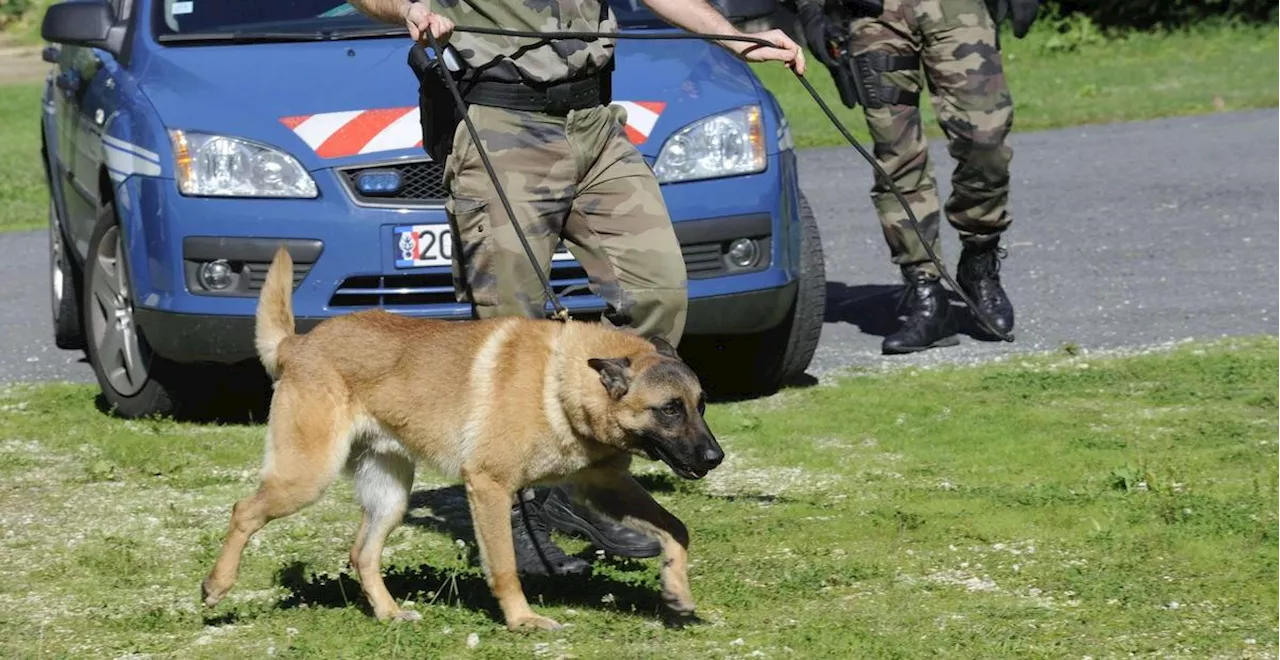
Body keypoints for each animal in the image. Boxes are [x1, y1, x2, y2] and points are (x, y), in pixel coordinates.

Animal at [198, 245, 721, 629]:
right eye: (669, 410)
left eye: (700, 405)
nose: (714, 457)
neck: (560, 380)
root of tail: (298, 344)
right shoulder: (489, 487)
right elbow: (505, 567)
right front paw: (523, 620)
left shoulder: (605, 485)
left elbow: (677, 528)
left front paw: (677, 589)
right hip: (305, 478)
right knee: (243, 511)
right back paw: (217, 585)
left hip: (390, 497)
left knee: (361, 553)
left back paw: (389, 613)